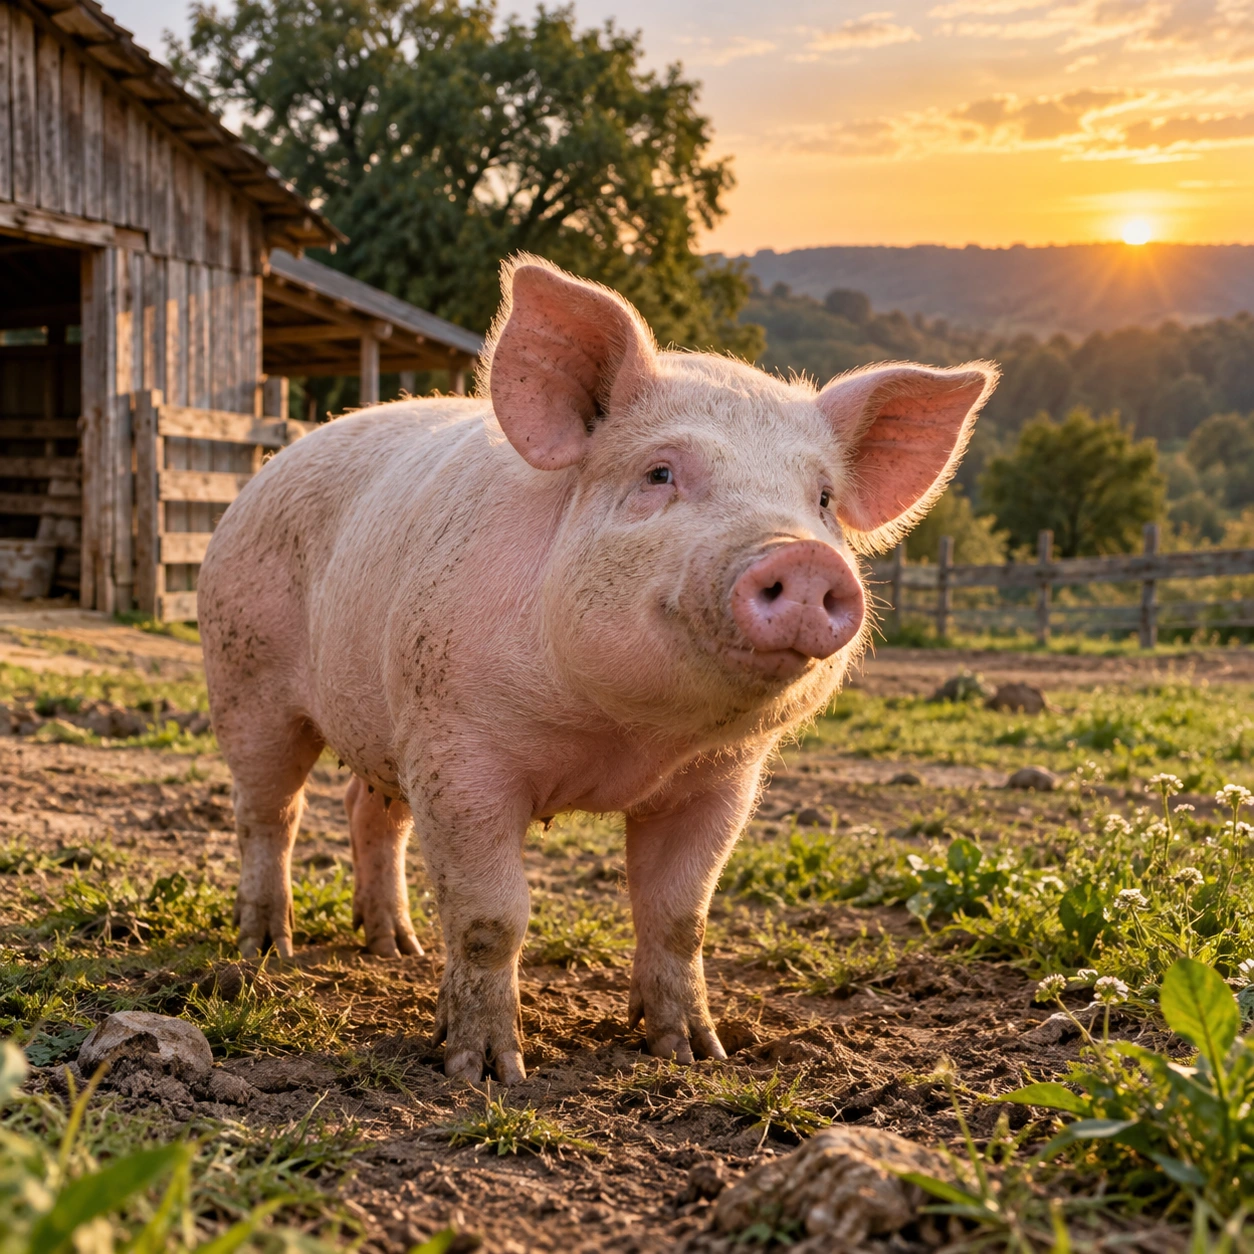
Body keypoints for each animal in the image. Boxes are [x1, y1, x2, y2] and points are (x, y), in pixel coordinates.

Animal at [198, 256, 996, 1083]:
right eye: (660, 473)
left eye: (824, 499)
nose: (804, 556)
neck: (626, 741)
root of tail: (270, 467)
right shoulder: (460, 750)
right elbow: (490, 916)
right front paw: (486, 1070)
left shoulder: (721, 778)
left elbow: (681, 915)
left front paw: (693, 1053)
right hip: (244, 671)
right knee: (271, 812)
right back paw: (265, 950)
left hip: (384, 721)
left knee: (370, 810)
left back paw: (396, 948)